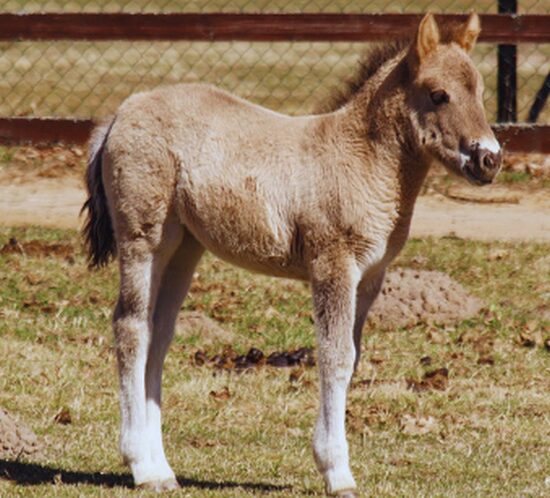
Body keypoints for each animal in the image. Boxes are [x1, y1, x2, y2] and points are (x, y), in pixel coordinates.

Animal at [83, 13, 504, 496]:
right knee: (130, 327)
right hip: (144, 238)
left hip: (183, 247)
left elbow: (352, 357)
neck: (361, 159)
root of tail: (119, 114)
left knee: (159, 333)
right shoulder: (333, 265)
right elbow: (335, 356)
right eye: (438, 94)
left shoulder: (371, 277)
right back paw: (141, 466)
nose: (490, 160)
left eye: (481, 93)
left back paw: (162, 469)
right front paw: (337, 471)